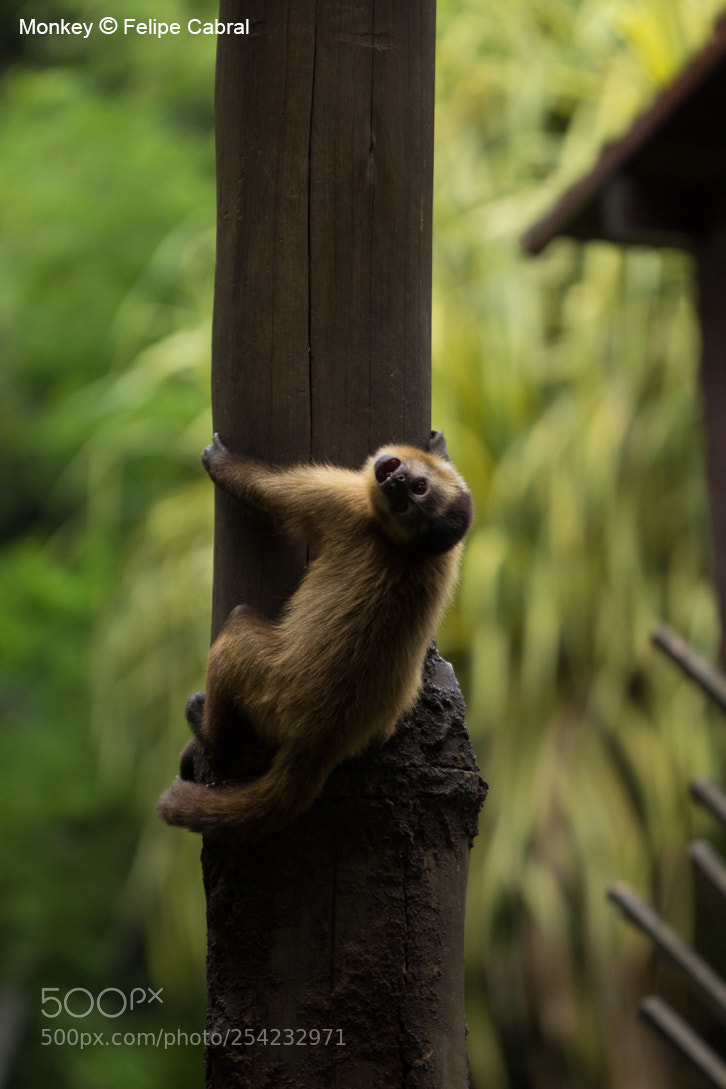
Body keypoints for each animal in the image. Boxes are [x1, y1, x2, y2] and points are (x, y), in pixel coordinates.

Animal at [157, 429, 473, 842]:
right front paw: (441, 451)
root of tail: (321, 740)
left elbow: (273, 497)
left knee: (238, 629)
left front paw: (220, 464)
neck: (407, 550)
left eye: (411, 498)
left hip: (271, 693)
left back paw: (216, 739)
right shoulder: (445, 553)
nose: (398, 482)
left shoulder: (347, 502)